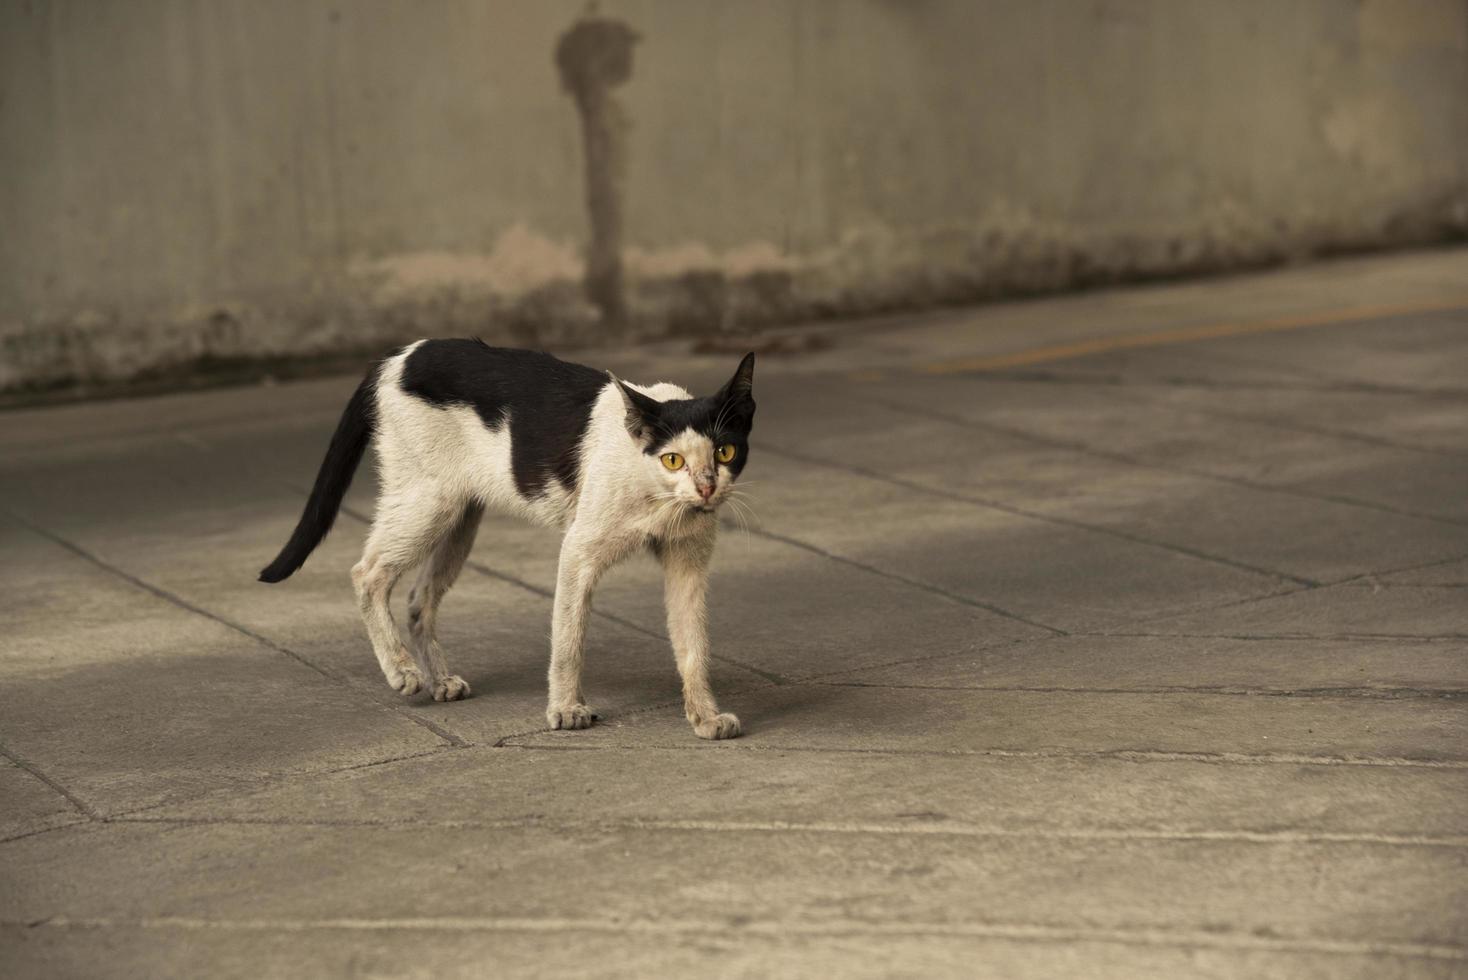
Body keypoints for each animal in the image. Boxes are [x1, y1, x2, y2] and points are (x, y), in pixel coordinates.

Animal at [258, 340, 757, 739]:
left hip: (459, 518)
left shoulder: (687, 565)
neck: (656, 490)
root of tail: (396, 357)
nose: (707, 488)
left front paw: (704, 716)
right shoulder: (578, 553)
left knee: (419, 599)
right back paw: (402, 671)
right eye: (673, 460)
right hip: (427, 503)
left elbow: (694, 646)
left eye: (725, 452)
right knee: (368, 573)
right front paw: (565, 710)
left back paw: (439, 680)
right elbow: (568, 641)